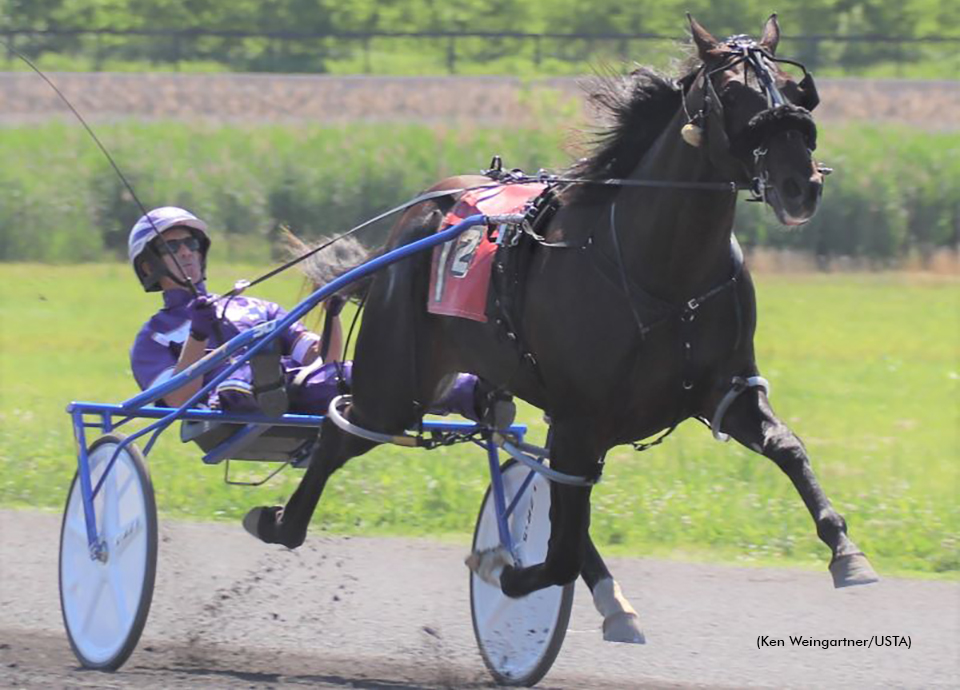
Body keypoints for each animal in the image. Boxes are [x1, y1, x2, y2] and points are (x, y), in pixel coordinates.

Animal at [246, 14, 876, 640]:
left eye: (795, 91)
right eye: (732, 93)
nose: (801, 185)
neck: (663, 275)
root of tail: (423, 209)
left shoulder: (723, 391)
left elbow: (787, 447)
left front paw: (847, 553)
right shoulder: (581, 416)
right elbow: (559, 551)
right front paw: (502, 568)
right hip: (398, 383)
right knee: (343, 431)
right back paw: (278, 522)